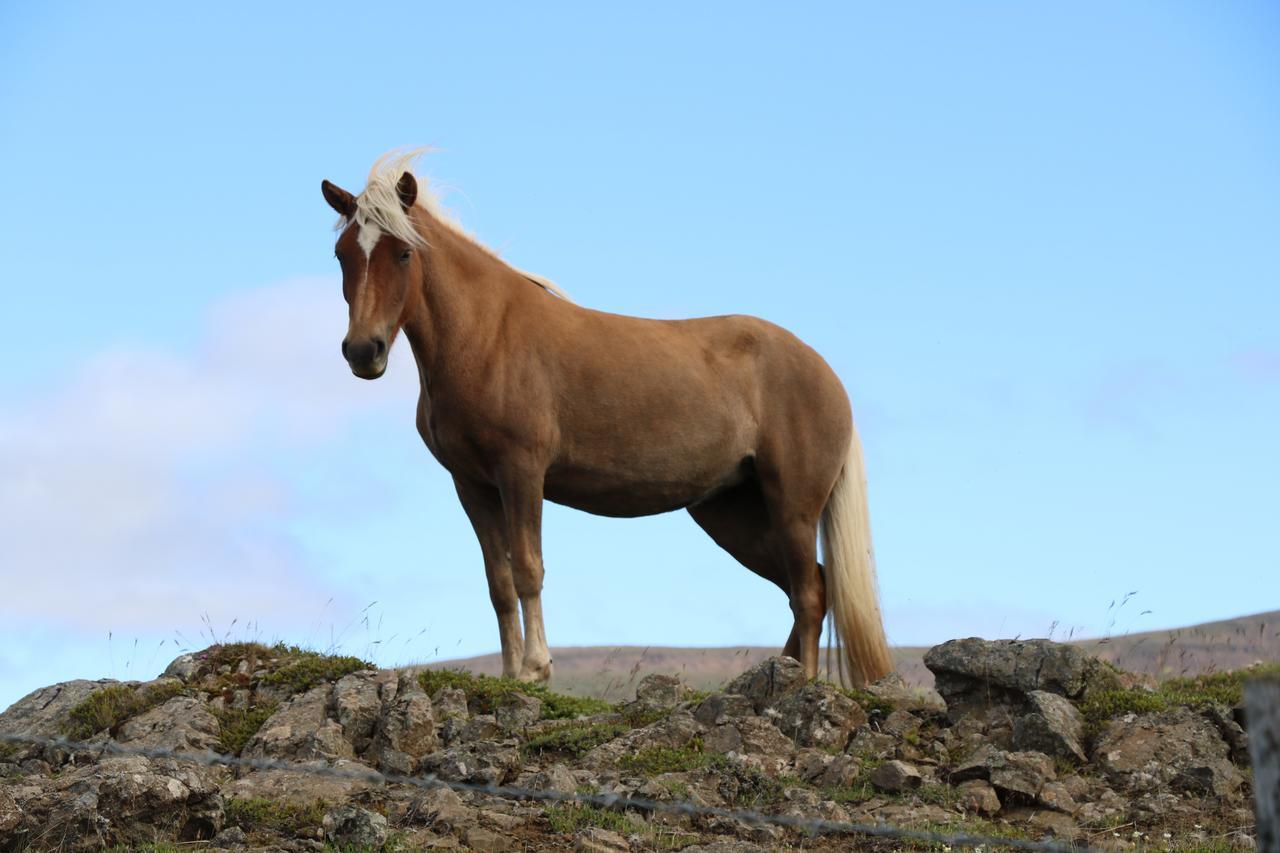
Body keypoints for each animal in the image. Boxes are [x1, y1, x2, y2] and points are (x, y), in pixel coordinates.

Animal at [325, 151, 896, 686]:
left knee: (809, 593)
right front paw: (511, 672)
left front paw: (535, 669)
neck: (487, 335)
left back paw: (805, 682)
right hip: (733, 515)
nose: (363, 351)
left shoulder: (522, 472)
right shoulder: (472, 485)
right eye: (342, 254)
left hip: (792, 507)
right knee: (809, 586)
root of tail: (824, 373)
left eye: (403, 252)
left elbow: (528, 569)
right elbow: (499, 582)